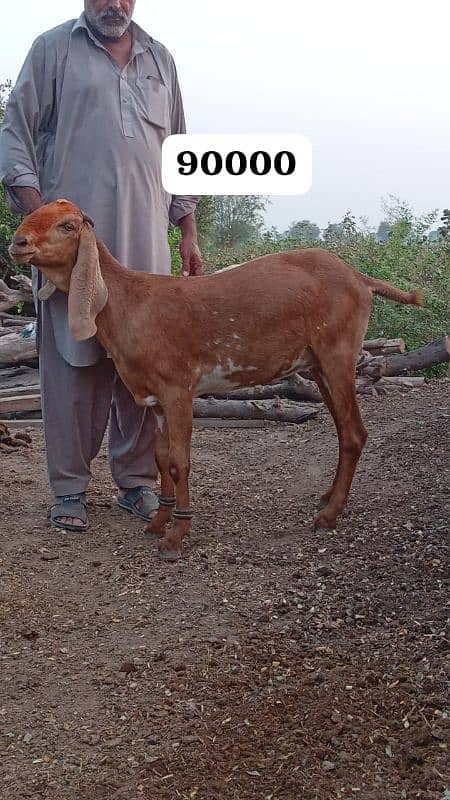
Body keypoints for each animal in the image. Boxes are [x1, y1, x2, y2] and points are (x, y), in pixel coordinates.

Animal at [10, 200, 424, 560]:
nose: (18, 242)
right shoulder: (155, 399)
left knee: (354, 433)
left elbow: (180, 461)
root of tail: (359, 277)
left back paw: (329, 515)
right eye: (33, 213)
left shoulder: (178, 389)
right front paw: (159, 521)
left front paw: (176, 534)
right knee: (343, 430)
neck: (130, 303)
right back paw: (327, 498)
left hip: (338, 354)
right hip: (319, 364)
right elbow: (161, 458)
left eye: (68, 225)